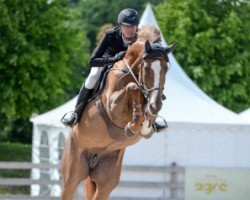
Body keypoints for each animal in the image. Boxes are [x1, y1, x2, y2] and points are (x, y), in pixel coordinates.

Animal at [60, 24, 176, 199]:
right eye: (146, 67)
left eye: (166, 69)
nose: (155, 104)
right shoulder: (113, 106)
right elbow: (132, 88)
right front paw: (133, 124)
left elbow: (143, 110)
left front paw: (142, 123)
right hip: (72, 172)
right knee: (69, 186)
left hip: (106, 180)